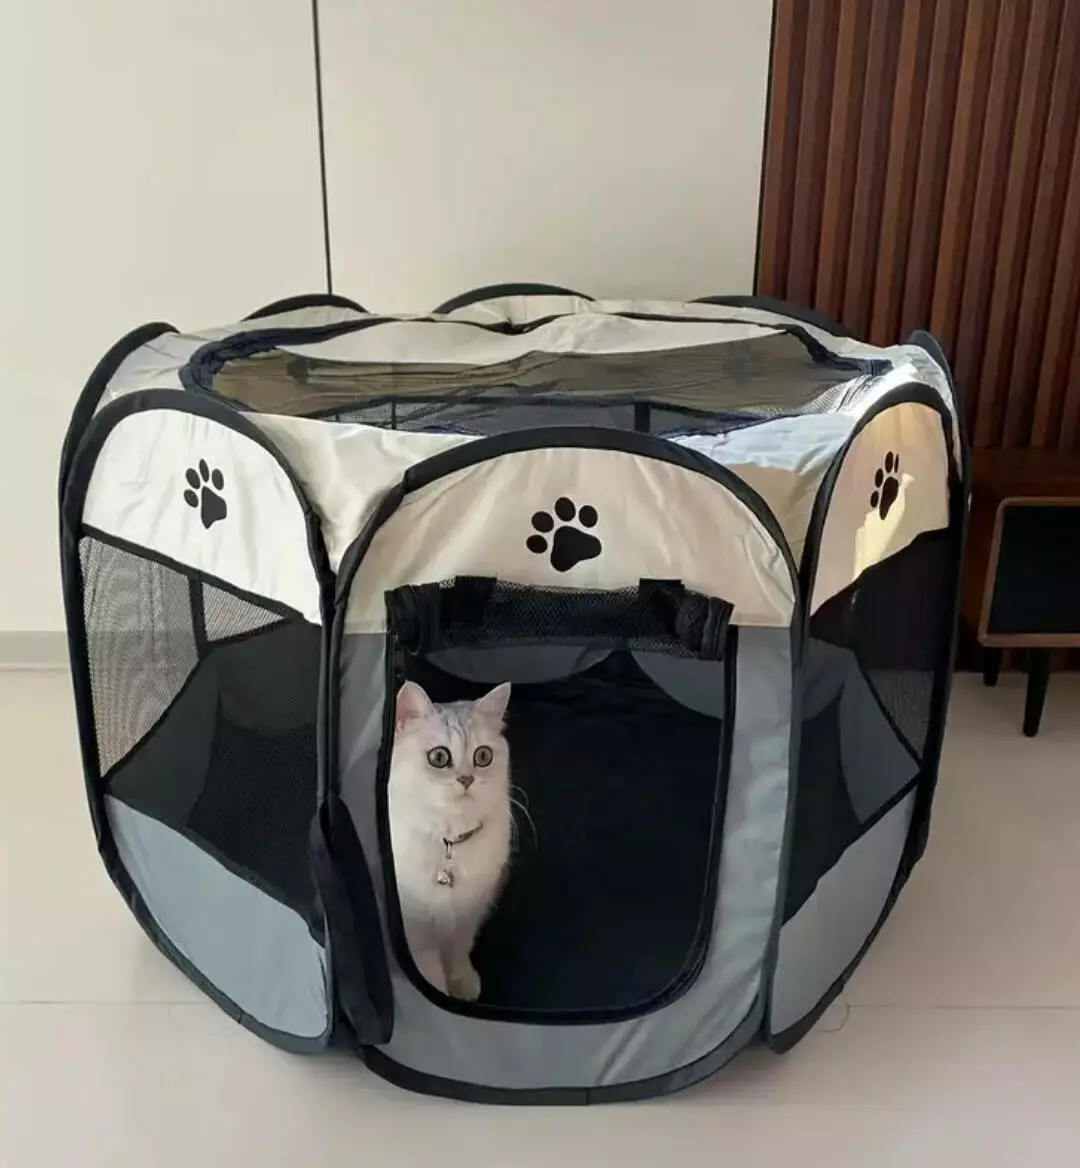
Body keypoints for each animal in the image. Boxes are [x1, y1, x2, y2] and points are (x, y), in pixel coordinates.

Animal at [388, 680, 512, 1001]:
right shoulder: (415, 928)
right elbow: (428, 974)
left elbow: (459, 951)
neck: (448, 842)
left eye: (483, 756)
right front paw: (440, 995)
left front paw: (462, 984)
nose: (467, 779)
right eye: (439, 757)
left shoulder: (469, 912)